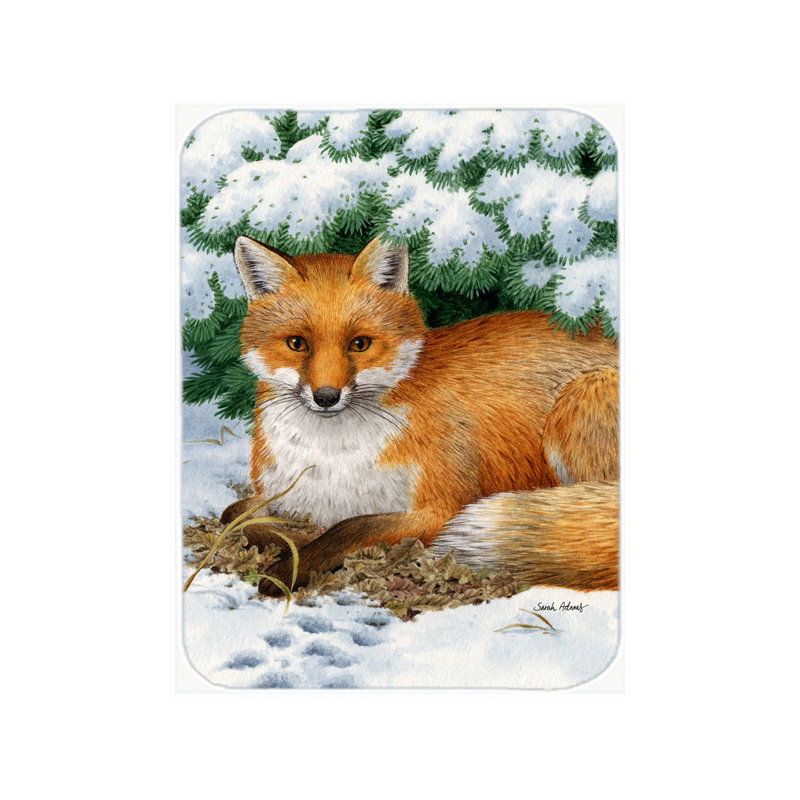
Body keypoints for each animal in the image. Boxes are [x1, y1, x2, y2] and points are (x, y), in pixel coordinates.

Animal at [221, 235, 619, 596]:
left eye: (359, 344)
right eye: (297, 344)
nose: (326, 397)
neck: (332, 460)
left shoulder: (442, 509)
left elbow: (350, 529)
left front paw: (288, 569)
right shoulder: (281, 494)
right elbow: (234, 517)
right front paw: (293, 537)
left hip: (582, 396)